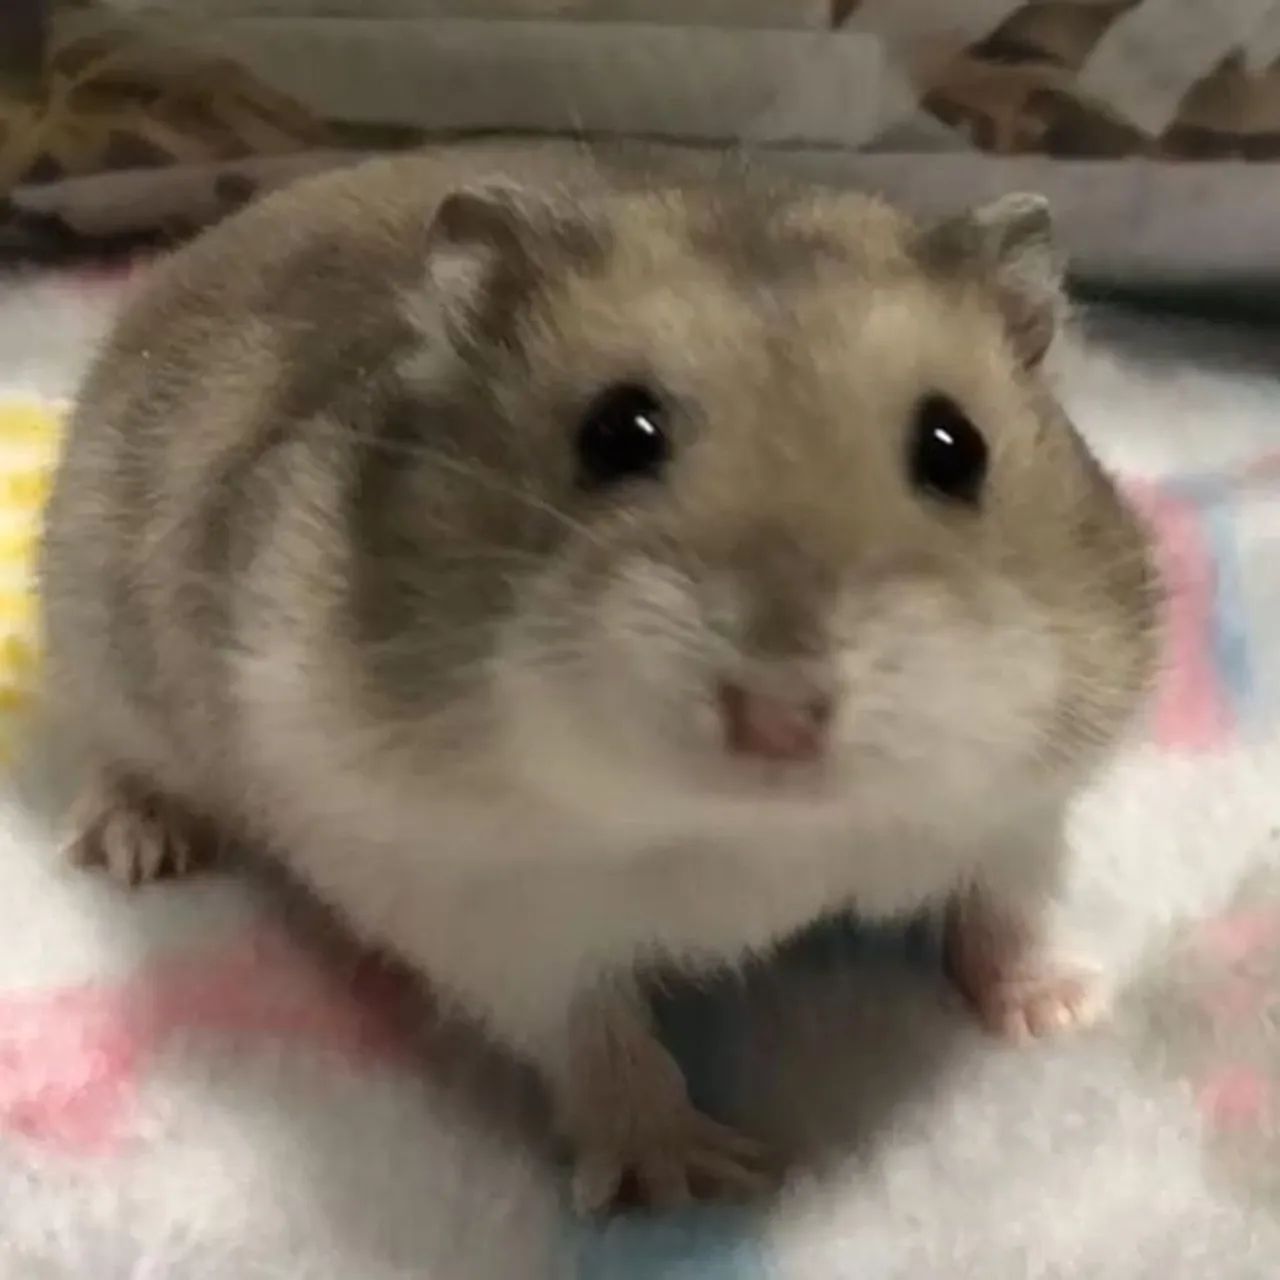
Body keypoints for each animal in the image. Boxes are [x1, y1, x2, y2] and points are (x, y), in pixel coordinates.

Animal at [39, 147, 1160, 1212]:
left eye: (954, 447)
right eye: (618, 432)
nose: (778, 718)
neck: (760, 832)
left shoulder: (1020, 807)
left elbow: (1006, 908)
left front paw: (1064, 1012)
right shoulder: (480, 899)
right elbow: (594, 1034)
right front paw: (686, 1179)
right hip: (96, 651)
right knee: (115, 759)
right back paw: (136, 846)